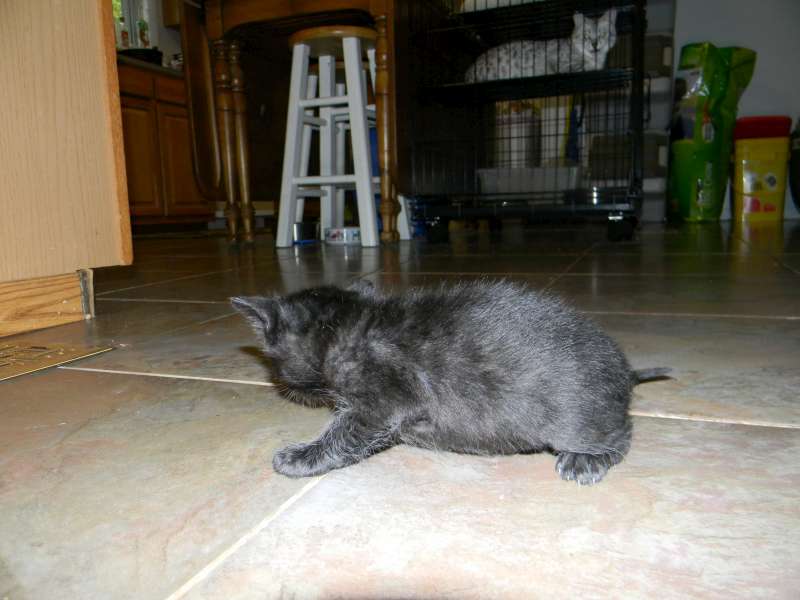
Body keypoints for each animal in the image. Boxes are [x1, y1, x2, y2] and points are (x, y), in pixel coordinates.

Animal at [231, 280, 669, 486]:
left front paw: (301, 456)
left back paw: (586, 459)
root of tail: (624, 369)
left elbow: (344, 434)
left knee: (621, 434)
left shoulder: (385, 399)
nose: (283, 385)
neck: (352, 326)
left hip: (575, 422)